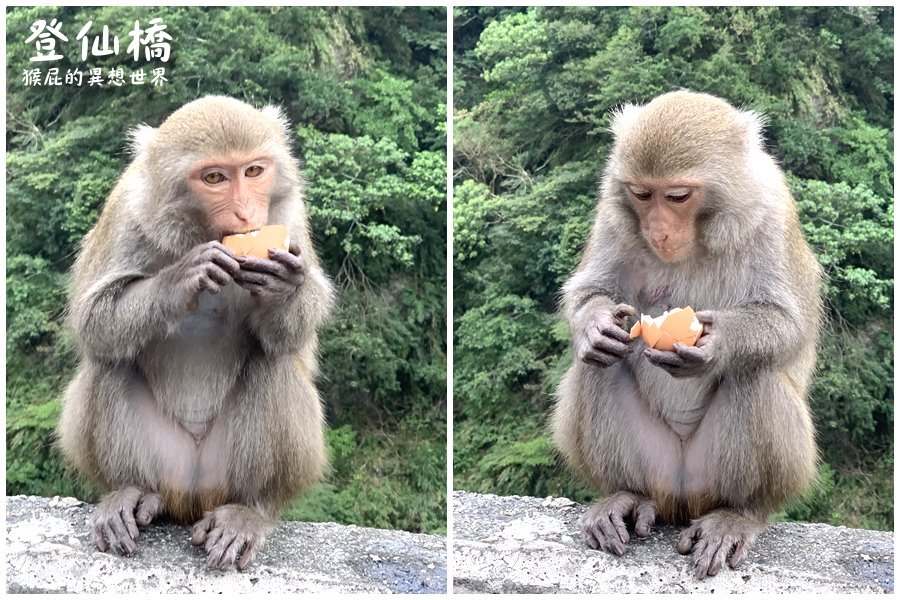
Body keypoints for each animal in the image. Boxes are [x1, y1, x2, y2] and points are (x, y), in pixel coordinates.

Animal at [59, 96, 334, 568]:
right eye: (214, 178)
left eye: (254, 171)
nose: (246, 214)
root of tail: (191, 497)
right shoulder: (127, 210)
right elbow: (93, 321)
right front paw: (181, 279)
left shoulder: (289, 215)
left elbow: (294, 339)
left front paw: (286, 284)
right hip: (166, 461)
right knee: (109, 363)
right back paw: (132, 494)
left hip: (223, 471)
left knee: (274, 366)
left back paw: (249, 510)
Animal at [548, 90, 824, 580]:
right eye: (641, 194)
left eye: (677, 196)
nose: (657, 230)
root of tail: (680, 500)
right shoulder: (612, 210)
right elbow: (590, 292)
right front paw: (596, 324)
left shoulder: (772, 212)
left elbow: (787, 322)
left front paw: (716, 345)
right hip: (656, 464)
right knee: (597, 365)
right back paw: (625, 496)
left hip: (710, 473)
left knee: (755, 372)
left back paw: (737, 515)